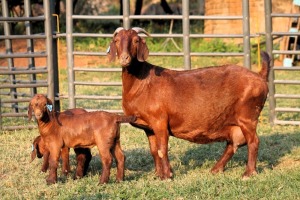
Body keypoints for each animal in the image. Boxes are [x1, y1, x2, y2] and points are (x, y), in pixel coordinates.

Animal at [107, 27, 272, 180]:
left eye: (136, 40)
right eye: (116, 40)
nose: (124, 58)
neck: (143, 82)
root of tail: (260, 76)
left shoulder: (159, 121)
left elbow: (162, 149)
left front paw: (167, 176)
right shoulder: (148, 127)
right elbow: (154, 151)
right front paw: (159, 174)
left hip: (248, 117)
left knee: (253, 141)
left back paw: (248, 173)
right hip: (233, 123)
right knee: (233, 144)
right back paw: (216, 169)